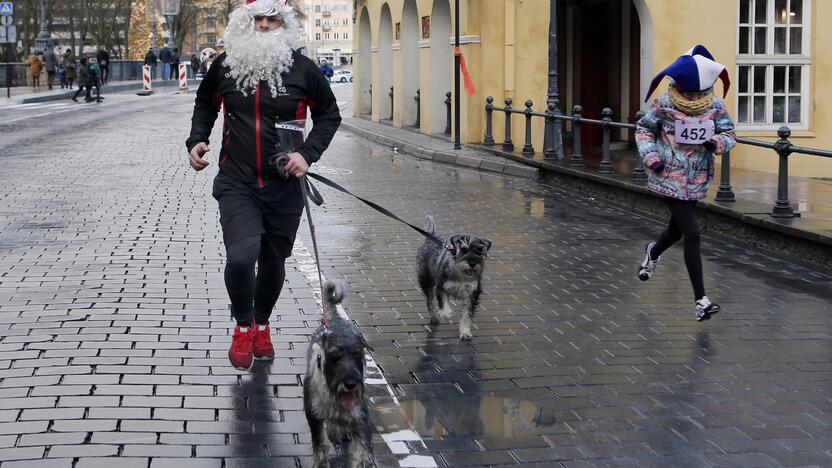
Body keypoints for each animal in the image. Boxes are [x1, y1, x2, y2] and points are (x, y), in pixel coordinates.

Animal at [304, 280, 376, 468]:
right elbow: (319, 444)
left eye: (358, 355)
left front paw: (364, 460)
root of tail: (333, 319)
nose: (351, 384)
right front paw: (321, 462)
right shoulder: (314, 415)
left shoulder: (360, 415)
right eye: (335, 357)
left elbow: (363, 446)